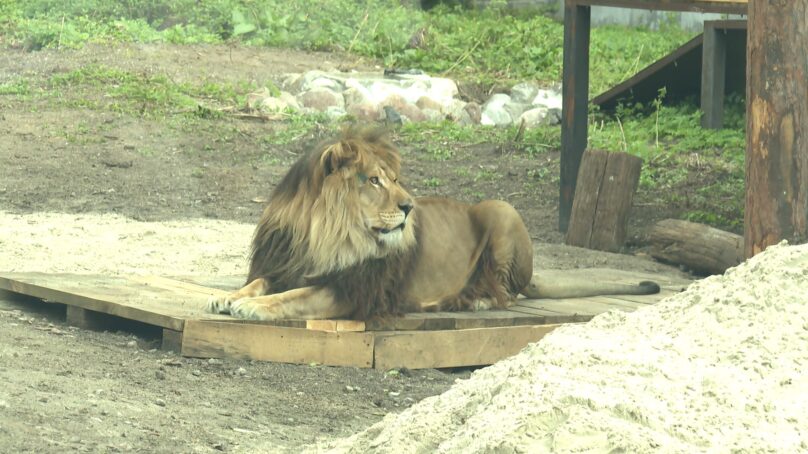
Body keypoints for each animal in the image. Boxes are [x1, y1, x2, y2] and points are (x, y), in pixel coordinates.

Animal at [205, 126, 660, 320]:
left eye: (394, 179)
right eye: (374, 180)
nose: (409, 207)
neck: (323, 232)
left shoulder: (355, 289)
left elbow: (293, 296)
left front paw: (252, 308)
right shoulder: (285, 263)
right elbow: (262, 282)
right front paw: (229, 297)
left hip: (501, 210)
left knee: (507, 294)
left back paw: (473, 299)